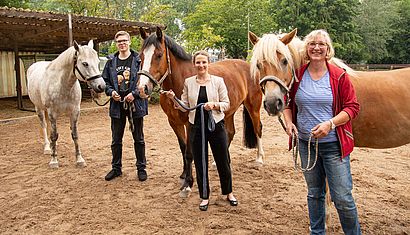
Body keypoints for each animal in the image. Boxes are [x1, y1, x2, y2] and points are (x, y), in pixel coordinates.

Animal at [27, 40, 105, 169]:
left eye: (98, 62)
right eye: (85, 63)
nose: (101, 86)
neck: (62, 84)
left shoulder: (74, 112)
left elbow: (75, 135)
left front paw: (79, 160)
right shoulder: (52, 113)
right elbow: (54, 135)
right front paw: (54, 160)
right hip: (39, 109)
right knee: (44, 126)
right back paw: (47, 148)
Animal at [136, 27, 262, 195]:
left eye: (159, 55)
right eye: (141, 56)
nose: (142, 88)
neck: (180, 81)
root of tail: (248, 66)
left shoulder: (190, 123)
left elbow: (189, 153)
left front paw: (188, 183)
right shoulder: (174, 122)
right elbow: (183, 148)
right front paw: (184, 175)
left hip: (253, 107)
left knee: (258, 128)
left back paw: (259, 159)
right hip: (228, 110)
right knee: (230, 132)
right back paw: (217, 162)